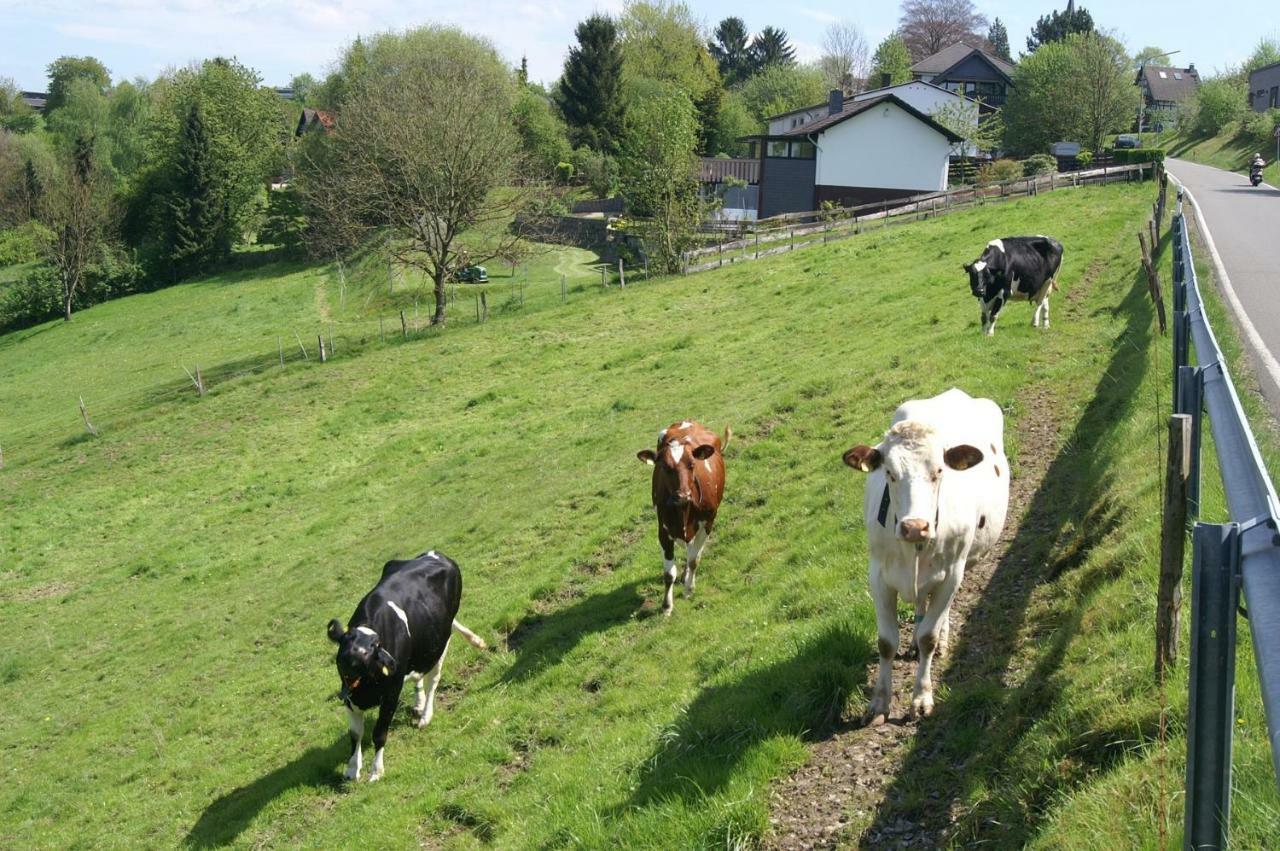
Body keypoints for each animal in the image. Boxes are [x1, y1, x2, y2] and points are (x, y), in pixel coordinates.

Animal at [327, 550, 486, 783]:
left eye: (367, 658)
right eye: (341, 658)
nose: (348, 681)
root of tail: (438, 553)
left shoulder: (391, 694)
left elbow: (379, 733)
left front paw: (376, 771)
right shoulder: (351, 700)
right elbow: (355, 735)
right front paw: (352, 769)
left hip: (440, 642)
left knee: (432, 681)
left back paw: (425, 715)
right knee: (419, 676)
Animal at [637, 417, 732, 611]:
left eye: (692, 464)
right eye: (665, 467)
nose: (683, 495)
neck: (683, 511)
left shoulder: (707, 523)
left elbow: (694, 560)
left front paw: (689, 589)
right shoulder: (663, 530)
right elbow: (668, 573)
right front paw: (667, 606)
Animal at [839, 389, 1008, 721]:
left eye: (939, 471)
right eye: (889, 473)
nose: (915, 527)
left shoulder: (952, 573)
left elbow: (929, 635)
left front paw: (921, 697)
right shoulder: (878, 577)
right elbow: (886, 642)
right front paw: (879, 702)